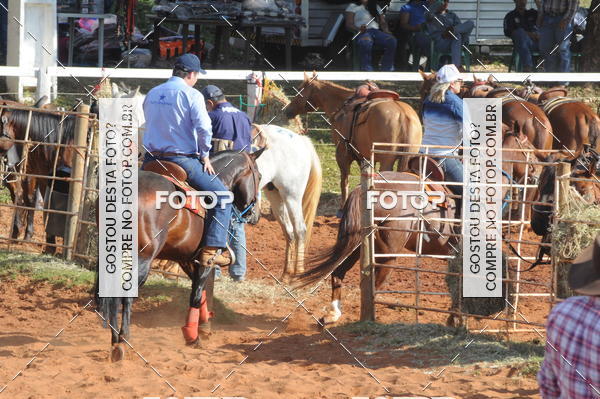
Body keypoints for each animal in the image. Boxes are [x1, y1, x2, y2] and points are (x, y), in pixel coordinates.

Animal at [253, 123, 324, 282]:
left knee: (300, 230)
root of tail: (301, 140)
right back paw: (286, 273)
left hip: (292, 196)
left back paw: (297, 273)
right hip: (275, 195)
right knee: (289, 231)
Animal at [284, 72, 422, 211]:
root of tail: (404, 115)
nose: (286, 111)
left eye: (300, 90)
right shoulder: (365, 157)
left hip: (386, 162)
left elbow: (344, 181)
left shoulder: (342, 154)